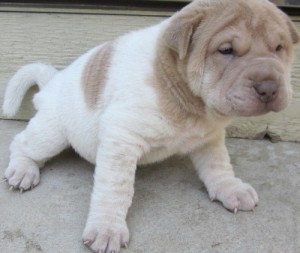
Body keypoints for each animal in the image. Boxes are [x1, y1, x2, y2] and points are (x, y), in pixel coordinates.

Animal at [1, 0, 298, 253]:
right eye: (226, 50)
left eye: (279, 48)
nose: (270, 87)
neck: (188, 101)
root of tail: (52, 82)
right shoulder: (121, 138)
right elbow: (115, 188)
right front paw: (107, 228)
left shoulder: (209, 136)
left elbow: (219, 165)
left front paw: (230, 189)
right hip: (51, 133)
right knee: (22, 144)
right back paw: (22, 171)